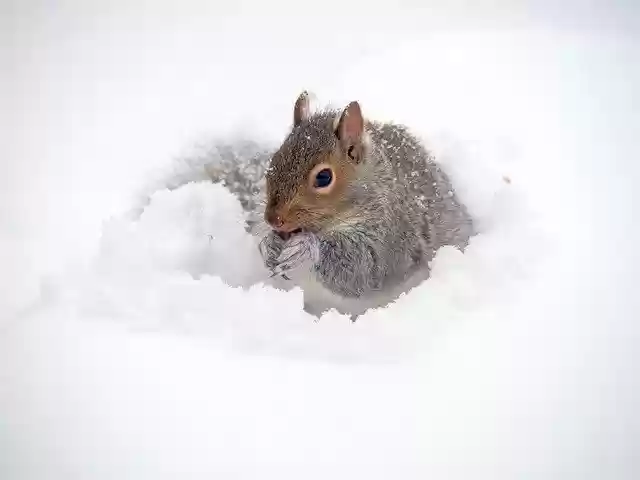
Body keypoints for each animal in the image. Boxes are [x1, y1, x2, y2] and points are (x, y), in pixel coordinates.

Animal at [257, 91, 475, 318]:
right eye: (274, 160)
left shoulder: (393, 237)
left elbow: (366, 270)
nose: (273, 219)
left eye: (324, 177)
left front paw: (306, 247)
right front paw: (269, 244)